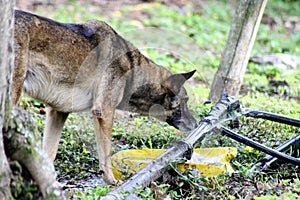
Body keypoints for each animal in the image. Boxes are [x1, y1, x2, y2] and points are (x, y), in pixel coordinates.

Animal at [12, 9, 198, 184]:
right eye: (185, 102)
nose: (197, 124)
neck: (132, 70)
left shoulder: (58, 112)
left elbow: (48, 156)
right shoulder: (104, 112)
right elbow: (106, 155)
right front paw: (111, 181)